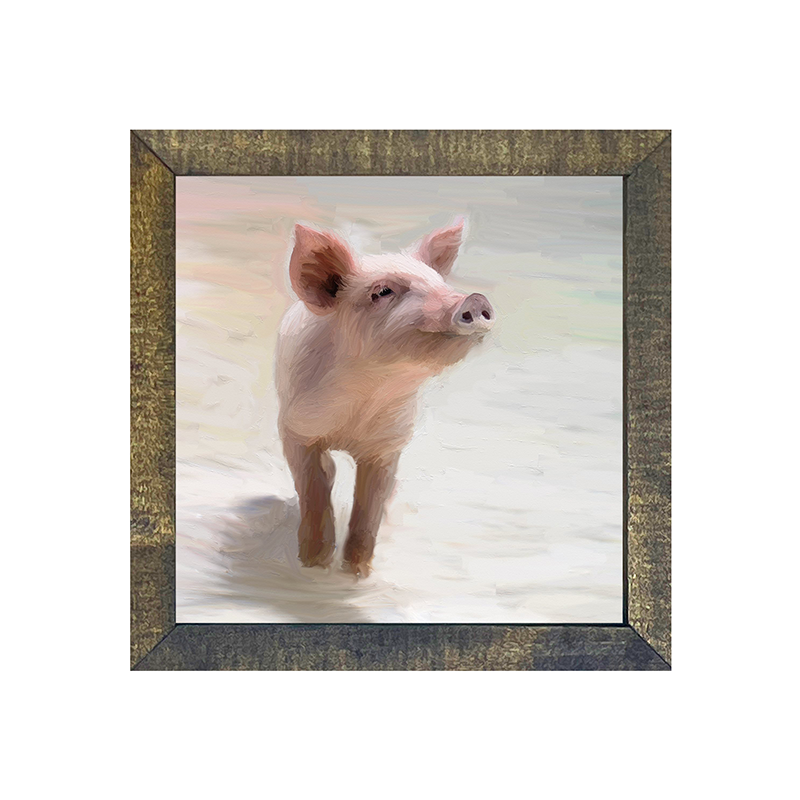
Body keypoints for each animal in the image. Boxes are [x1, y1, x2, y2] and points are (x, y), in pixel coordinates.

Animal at [275, 220, 494, 576]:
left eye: (439, 283)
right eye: (382, 292)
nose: (473, 299)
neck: (369, 394)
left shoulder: (389, 443)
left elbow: (370, 509)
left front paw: (357, 573)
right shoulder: (295, 429)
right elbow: (313, 490)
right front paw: (314, 565)